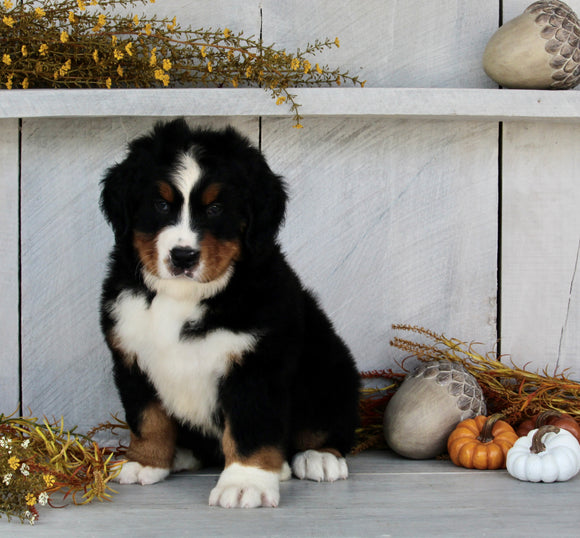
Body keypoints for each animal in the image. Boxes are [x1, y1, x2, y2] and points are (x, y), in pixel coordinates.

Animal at [101, 118, 362, 506]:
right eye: (160, 205)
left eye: (215, 209)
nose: (183, 256)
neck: (183, 296)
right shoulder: (132, 359)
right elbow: (148, 420)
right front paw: (145, 462)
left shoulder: (256, 365)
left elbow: (250, 428)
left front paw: (245, 484)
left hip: (331, 368)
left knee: (326, 426)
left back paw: (317, 458)